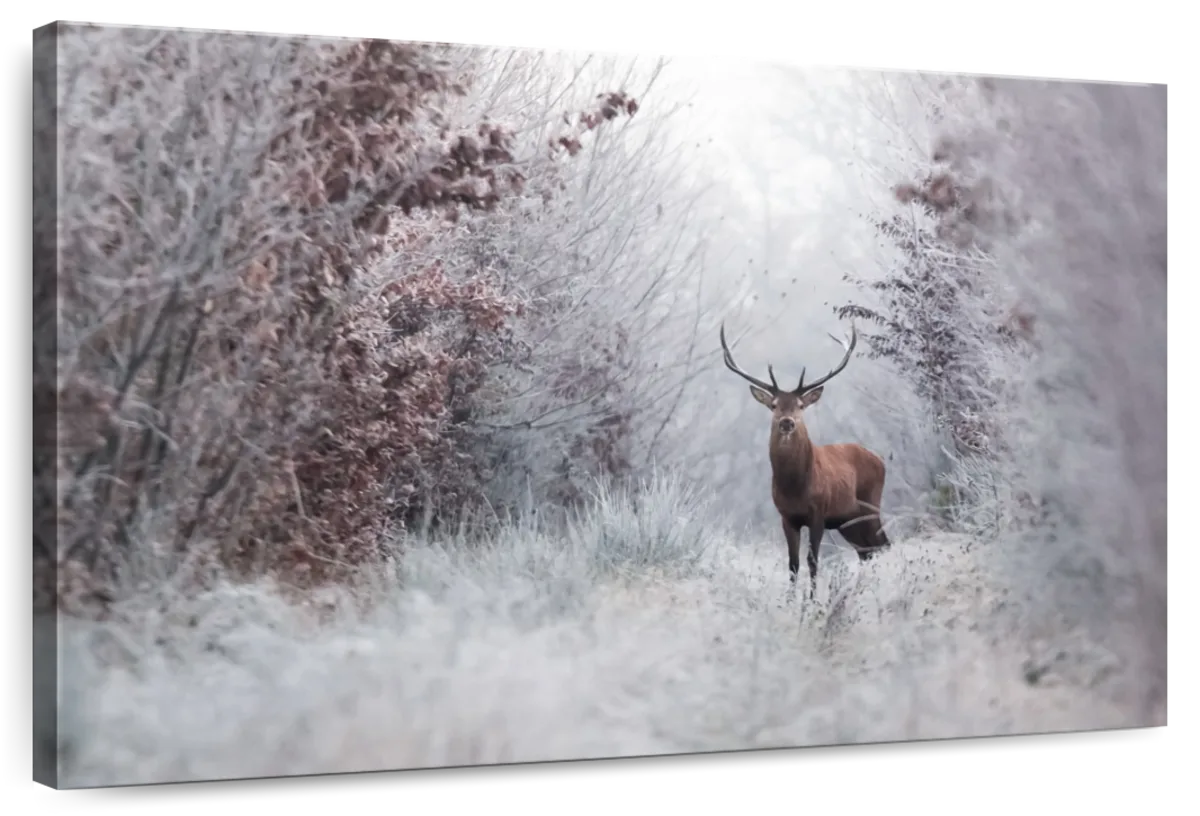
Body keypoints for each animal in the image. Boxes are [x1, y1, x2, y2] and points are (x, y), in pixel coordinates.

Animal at [719, 320, 891, 603]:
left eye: (800, 405)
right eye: (774, 404)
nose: (787, 422)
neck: (796, 487)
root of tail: (879, 459)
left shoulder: (818, 512)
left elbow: (812, 560)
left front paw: (810, 602)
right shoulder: (786, 516)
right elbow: (793, 563)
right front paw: (789, 602)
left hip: (870, 505)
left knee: (883, 545)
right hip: (847, 520)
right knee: (867, 551)